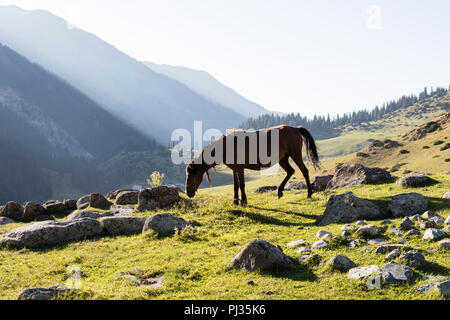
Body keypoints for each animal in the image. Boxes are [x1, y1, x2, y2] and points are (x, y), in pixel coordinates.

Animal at [185, 125, 320, 205]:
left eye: (191, 175)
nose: (188, 193)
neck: (226, 146)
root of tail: (295, 128)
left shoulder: (240, 168)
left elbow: (242, 185)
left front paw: (243, 201)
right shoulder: (234, 169)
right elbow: (236, 185)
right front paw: (235, 201)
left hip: (295, 155)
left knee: (304, 171)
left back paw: (309, 194)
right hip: (283, 159)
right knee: (290, 171)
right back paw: (280, 191)